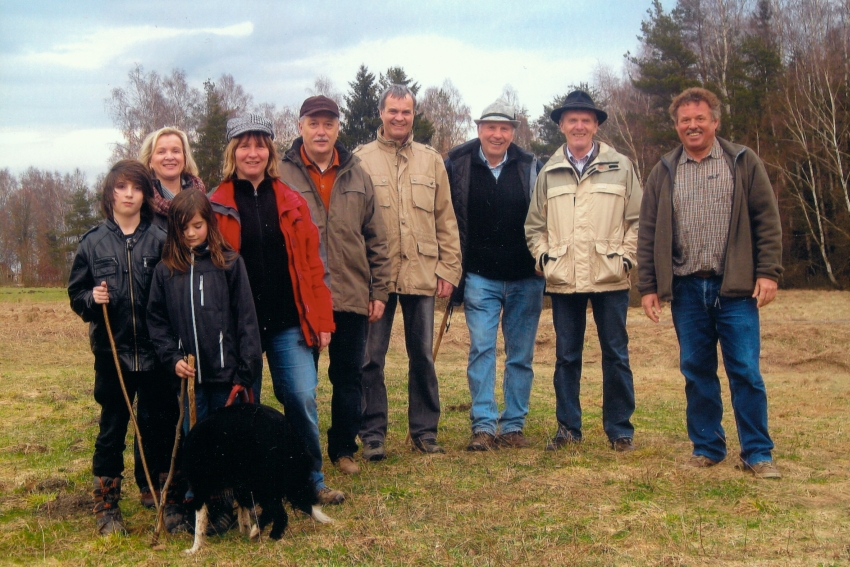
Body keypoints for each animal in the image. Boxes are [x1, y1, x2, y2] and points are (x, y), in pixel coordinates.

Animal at [181, 404, 330, 556]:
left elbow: (200, 521)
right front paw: (244, 531)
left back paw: (258, 532)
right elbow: (243, 512)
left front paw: (194, 548)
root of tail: (287, 430)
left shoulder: (200, 484)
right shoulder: (240, 486)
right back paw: (271, 534)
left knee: (275, 510)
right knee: (279, 512)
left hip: (262, 480)